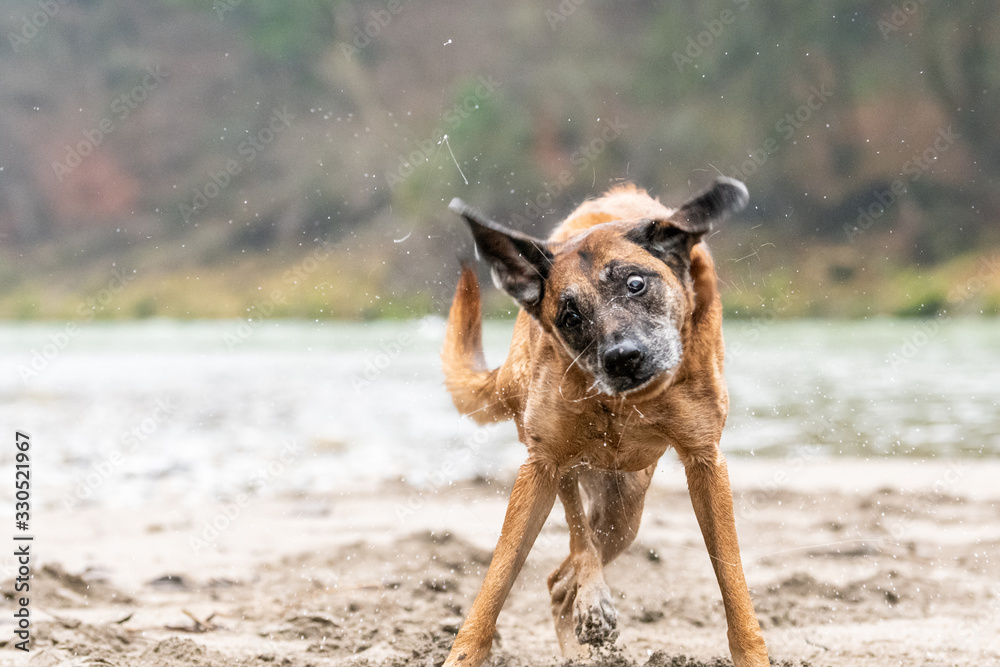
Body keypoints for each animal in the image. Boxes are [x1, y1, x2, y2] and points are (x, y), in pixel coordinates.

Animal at [442, 179, 768, 667]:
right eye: (570, 315)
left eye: (635, 284)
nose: (623, 357)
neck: (625, 401)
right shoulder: (540, 463)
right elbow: (497, 582)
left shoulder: (705, 461)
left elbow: (732, 581)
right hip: (568, 469)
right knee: (572, 558)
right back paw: (589, 610)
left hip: (624, 511)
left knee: (563, 578)